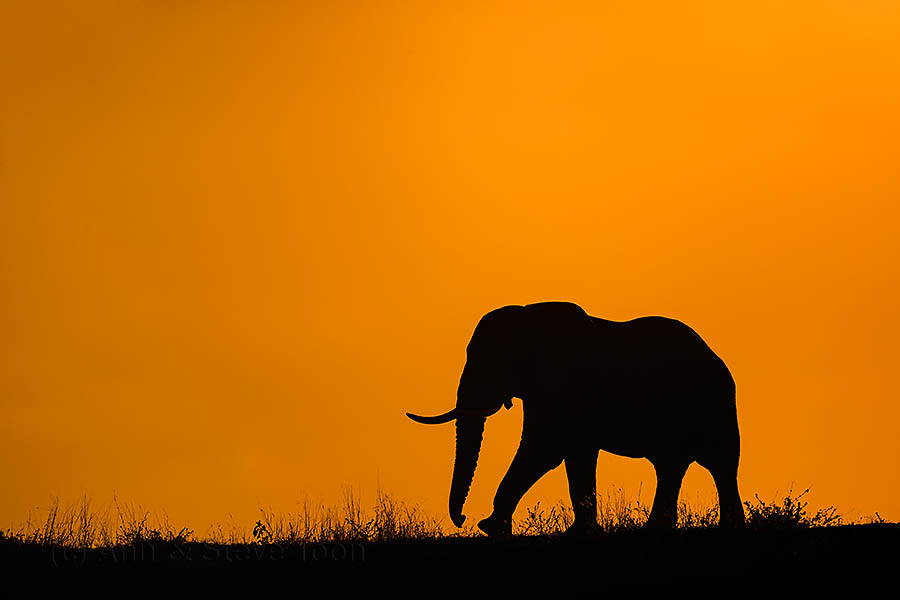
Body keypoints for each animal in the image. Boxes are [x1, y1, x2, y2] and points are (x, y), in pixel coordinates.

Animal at [407, 301, 744, 536]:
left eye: (492, 363)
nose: (462, 519)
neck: (527, 317)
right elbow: (574, 455)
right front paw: (580, 532)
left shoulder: (562, 385)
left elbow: (544, 450)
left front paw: (491, 527)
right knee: (672, 465)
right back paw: (660, 529)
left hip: (715, 404)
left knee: (720, 463)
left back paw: (726, 527)